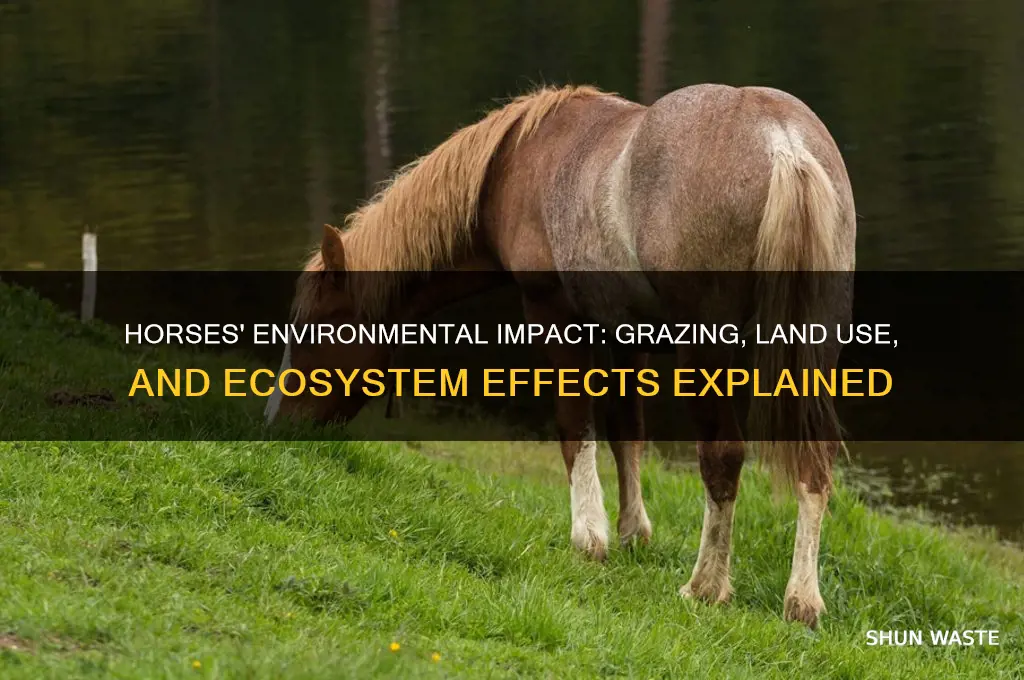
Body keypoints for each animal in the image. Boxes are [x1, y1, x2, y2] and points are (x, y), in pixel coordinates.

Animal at [265, 84, 856, 629]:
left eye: (313, 328)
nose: (275, 425)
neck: (513, 162)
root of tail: (782, 143)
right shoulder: (620, 330)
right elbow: (625, 430)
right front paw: (633, 533)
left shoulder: (549, 310)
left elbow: (576, 427)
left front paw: (588, 536)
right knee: (814, 460)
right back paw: (802, 601)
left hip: (706, 353)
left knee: (723, 455)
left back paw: (706, 587)